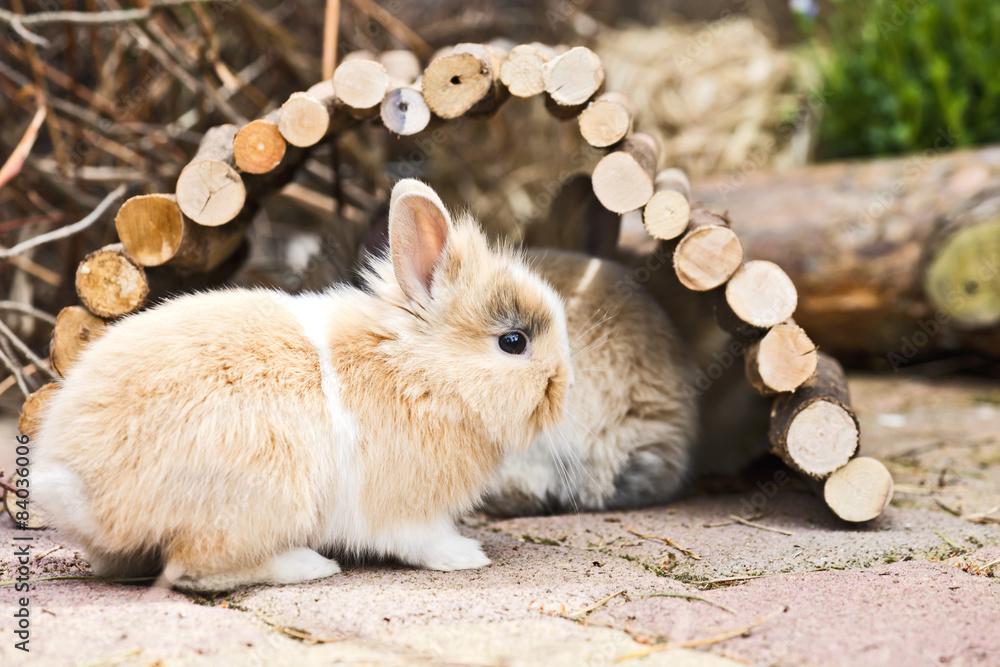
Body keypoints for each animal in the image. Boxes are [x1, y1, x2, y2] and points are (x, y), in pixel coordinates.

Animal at [31, 179, 573, 592]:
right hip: (258, 494)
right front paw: (466, 556)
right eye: (513, 341)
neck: (421, 371)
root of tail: (76, 485)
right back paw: (308, 565)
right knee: (193, 570)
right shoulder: (404, 509)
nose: (562, 385)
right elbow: (422, 539)